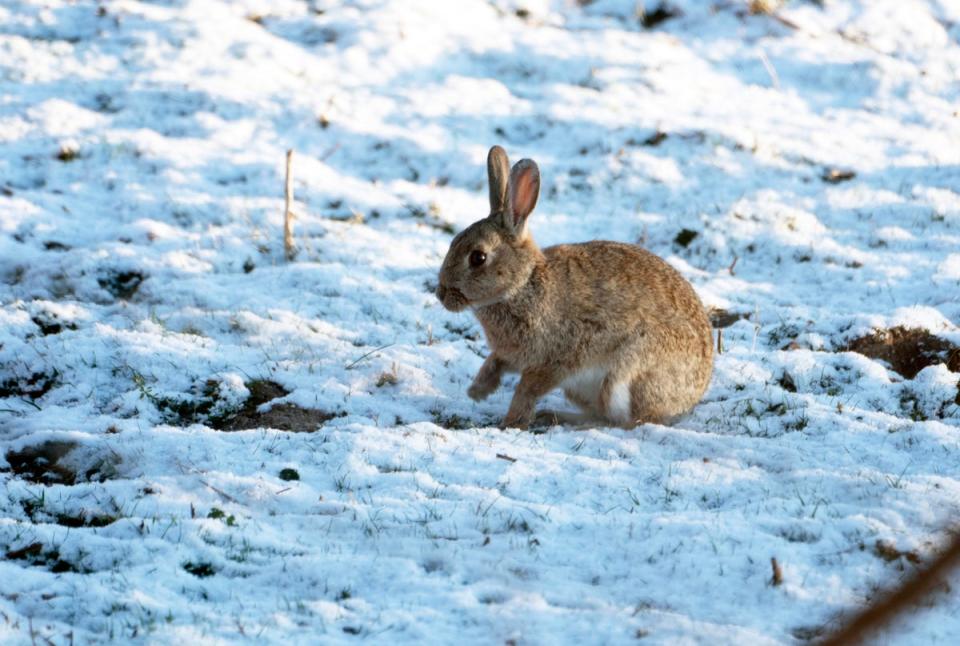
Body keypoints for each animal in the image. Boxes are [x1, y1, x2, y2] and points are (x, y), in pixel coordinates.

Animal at [436, 147, 712, 430]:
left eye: (478, 258)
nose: (441, 294)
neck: (523, 285)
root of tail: (691, 397)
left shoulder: (559, 358)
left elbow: (527, 389)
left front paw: (510, 422)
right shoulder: (511, 354)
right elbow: (494, 362)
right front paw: (477, 391)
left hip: (625, 372)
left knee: (628, 421)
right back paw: (553, 416)